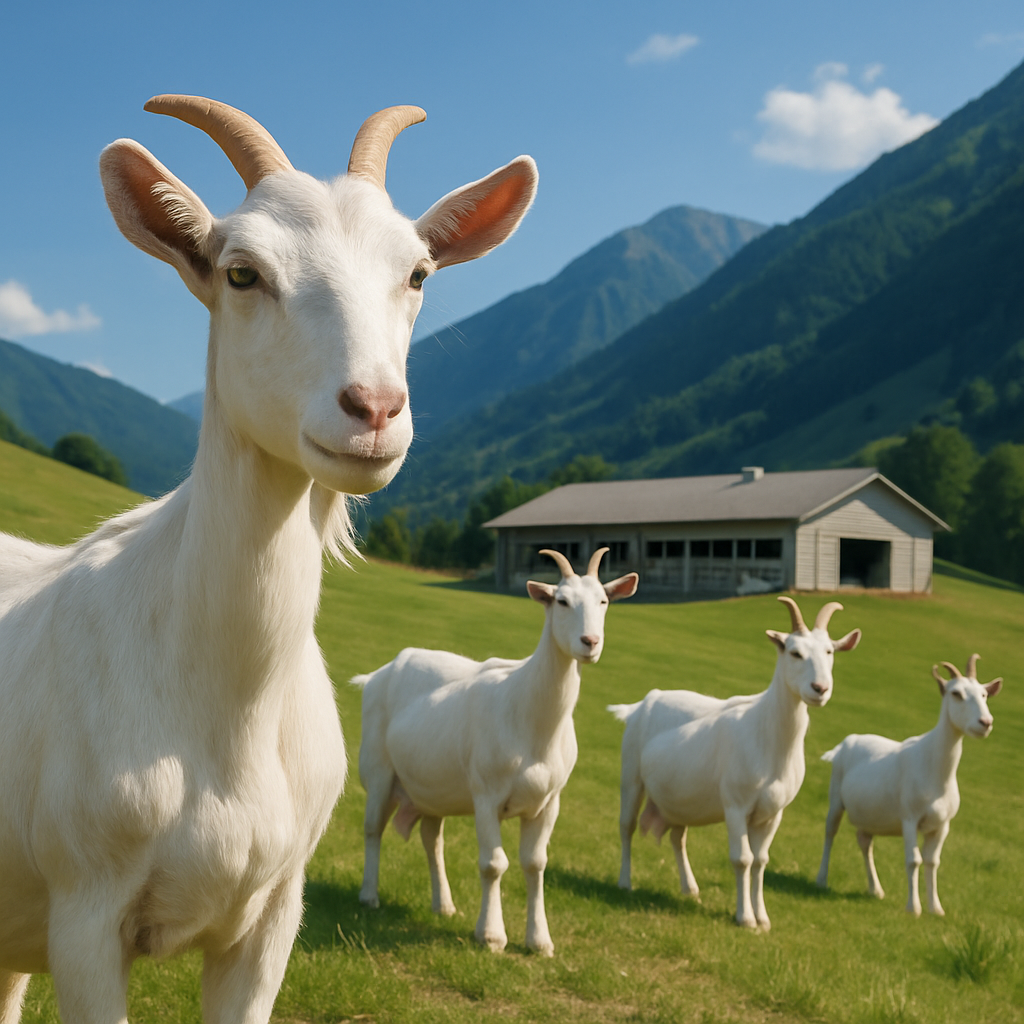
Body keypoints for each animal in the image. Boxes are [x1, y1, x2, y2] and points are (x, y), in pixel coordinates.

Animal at [0, 95, 537, 1022]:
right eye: (242, 273)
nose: (373, 409)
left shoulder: (272, 916)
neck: (225, 710)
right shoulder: (85, 918)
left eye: (418, 274)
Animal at [354, 548, 638, 955]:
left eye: (604, 601)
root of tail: (376, 675)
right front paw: (491, 936)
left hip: (431, 788)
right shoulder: (485, 794)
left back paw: (444, 905)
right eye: (562, 601)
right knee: (372, 828)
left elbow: (535, 864)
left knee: (431, 838)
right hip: (378, 771)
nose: (590, 642)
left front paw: (539, 941)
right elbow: (493, 863)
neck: (531, 721)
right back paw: (369, 895)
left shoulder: (549, 801)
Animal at [609, 596, 860, 929]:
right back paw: (625, 882)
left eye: (830, 651)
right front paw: (745, 918)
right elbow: (742, 859)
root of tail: (640, 705)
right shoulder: (736, 805)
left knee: (677, 837)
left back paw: (690, 889)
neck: (766, 736)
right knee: (626, 826)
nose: (820, 689)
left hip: (678, 798)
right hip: (631, 776)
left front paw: (763, 918)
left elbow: (761, 861)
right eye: (794, 652)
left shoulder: (772, 813)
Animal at [815, 655, 1002, 916]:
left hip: (869, 814)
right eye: (956, 693)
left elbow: (933, 862)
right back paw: (821, 879)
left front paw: (936, 908)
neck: (935, 771)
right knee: (830, 832)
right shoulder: (910, 817)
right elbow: (914, 860)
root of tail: (846, 742)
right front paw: (913, 908)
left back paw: (876, 889)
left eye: (984, 694)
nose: (985, 722)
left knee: (864, 842)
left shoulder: (942, 825)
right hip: (835, 797)